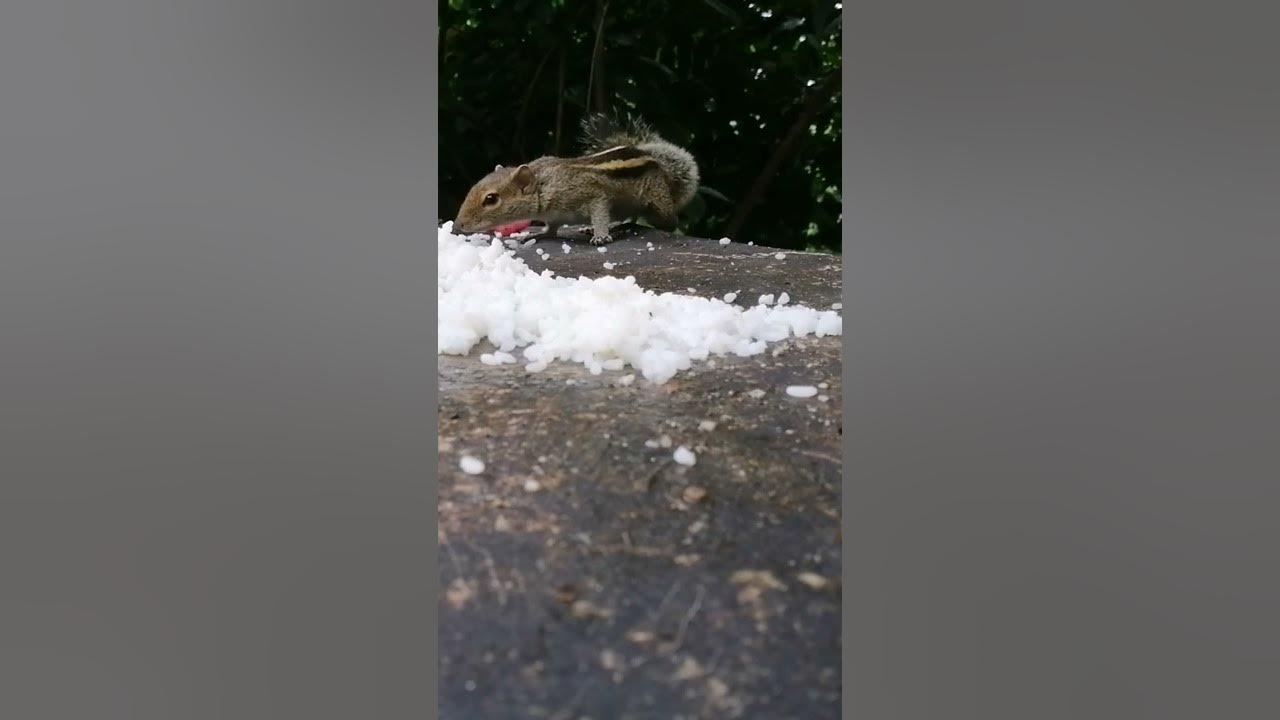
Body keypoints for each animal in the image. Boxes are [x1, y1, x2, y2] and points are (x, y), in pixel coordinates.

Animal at [453, 114, 700, 245]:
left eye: (491, 199)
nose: (457, 226)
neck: (544, 184)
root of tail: (656, 162)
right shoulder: (554, 216)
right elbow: (552, 229)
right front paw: (538, 235)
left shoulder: (592, 193)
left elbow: (599, 210)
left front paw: (600, 236)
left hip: (657, 204)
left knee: (667, 221)